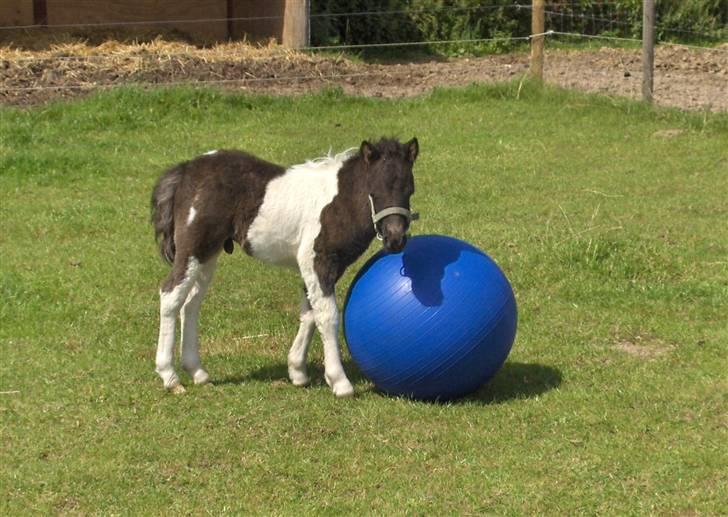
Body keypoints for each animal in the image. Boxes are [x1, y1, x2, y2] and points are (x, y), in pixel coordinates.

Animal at [151, 136, 418, 396]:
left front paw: (298, 371)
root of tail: (186, 170)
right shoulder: (317, 260)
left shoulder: (324, 267)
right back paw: (170, 377)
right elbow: (327, 315)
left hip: (207, 255)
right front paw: (339, 382)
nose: (395, 239)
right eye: (374, 190)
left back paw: (197, 372)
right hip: (193, 250)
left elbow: (310, 313)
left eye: (410, 189)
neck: (340, 202)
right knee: (170, 295)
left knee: (190, 304)